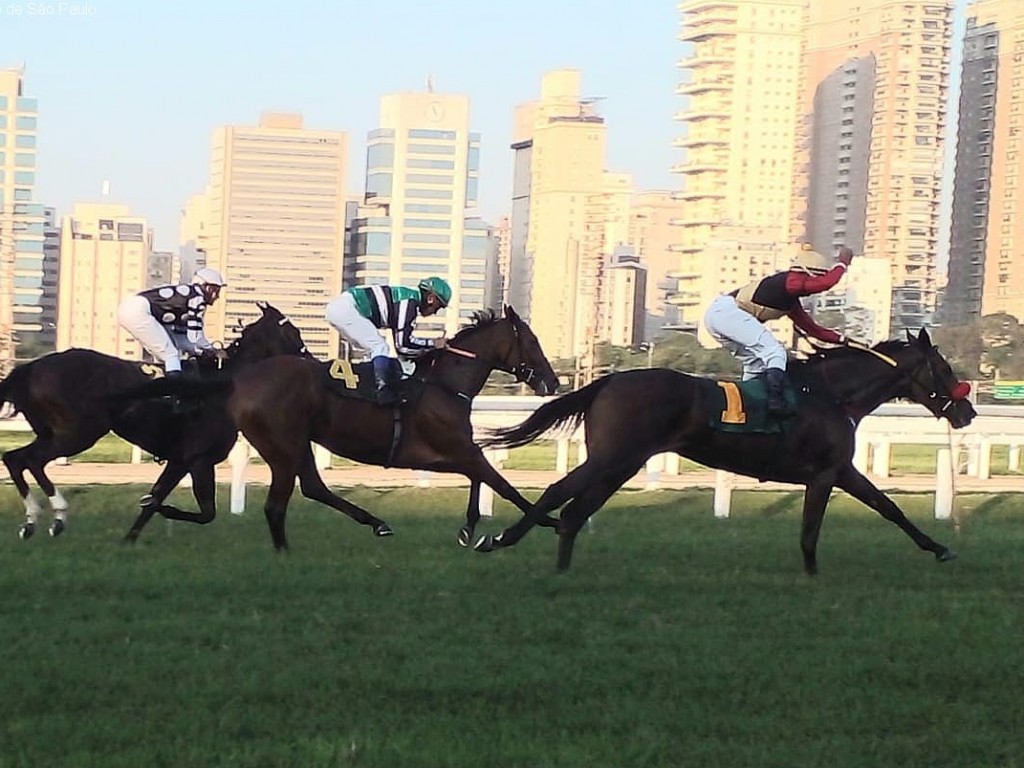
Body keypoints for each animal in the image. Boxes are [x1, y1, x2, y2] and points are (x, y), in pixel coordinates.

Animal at [1, 303, 311, 540]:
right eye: (292, 331)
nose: (310, 359)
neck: (220, 386)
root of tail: (32, 367)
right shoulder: (199, 459)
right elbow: (205, 513)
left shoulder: (179, 461)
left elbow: (153, 503)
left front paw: (129, 540)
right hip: (78, 433)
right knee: (30, 460)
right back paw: (58, 516)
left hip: (53, 432)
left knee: (15, 458)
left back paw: (32, 521)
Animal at [143, 307, 557, 552]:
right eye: (532, 341)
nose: (552, 382)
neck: (442, 384)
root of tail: (239, 381)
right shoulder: (453, 450)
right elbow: (501, 484)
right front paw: (546, 522)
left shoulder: (451, 454)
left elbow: (482, 480)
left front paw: (469, 529)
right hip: (283, 446)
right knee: (278, 504)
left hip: (297, 443)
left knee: (311, 488)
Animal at [475, 331, 978, 577]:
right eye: (943, 368)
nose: (968, 411)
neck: (830, 395)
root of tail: (608, 380)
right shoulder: (825, 472)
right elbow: (811, 530)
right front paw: (812, 575)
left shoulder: (841, 471)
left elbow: (889, 507)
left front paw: (939, 548)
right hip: (612, 457)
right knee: (559, 492)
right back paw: (499, 539)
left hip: (622, 462)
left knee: (576, 511)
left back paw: (561, 569)